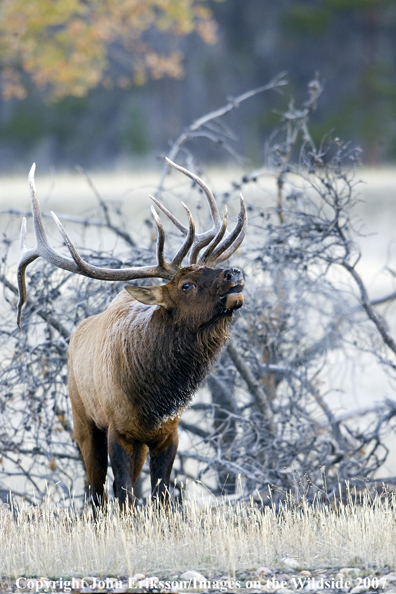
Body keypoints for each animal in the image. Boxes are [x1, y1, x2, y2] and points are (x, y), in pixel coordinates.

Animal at [17, 161, 248, 504]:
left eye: (209, 269)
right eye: (186, 285)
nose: (234, 273)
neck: (156, 398)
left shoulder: (169, 433)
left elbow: (161, 496)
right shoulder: (118, 429)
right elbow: (124, 495)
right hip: (83, 420)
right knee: (96, 490)